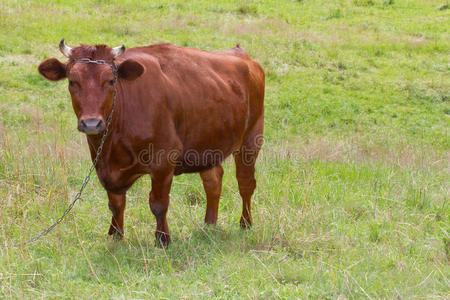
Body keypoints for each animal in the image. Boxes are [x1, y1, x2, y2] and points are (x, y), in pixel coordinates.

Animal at [38, 39, 266, 246]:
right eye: (72, 81)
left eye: (110, 80)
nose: (92, 123)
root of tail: (243, 55)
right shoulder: (103, 163)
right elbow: (116, 203)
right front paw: (116, 235)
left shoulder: (163, 160)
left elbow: (158, 204)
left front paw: (162, 239)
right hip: (207, 144)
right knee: (213, 182)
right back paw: (209, 223)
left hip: (251, 140)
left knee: (245, 184)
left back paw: (245, 223)